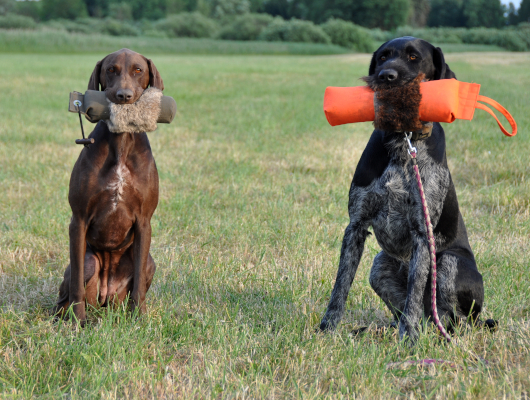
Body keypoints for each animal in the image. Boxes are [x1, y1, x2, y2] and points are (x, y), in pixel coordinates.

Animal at [318, 37, 490, 342]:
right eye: (383, 57)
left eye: (413, 57)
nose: (386, 75)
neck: (403, 141)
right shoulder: (356, 226)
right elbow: (340, 286)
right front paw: (328, 328)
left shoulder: (423, 234)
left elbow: (414, 295)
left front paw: (408, 340)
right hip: (380, 265)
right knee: (419, 314)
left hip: (448, 263)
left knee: (449, 319)